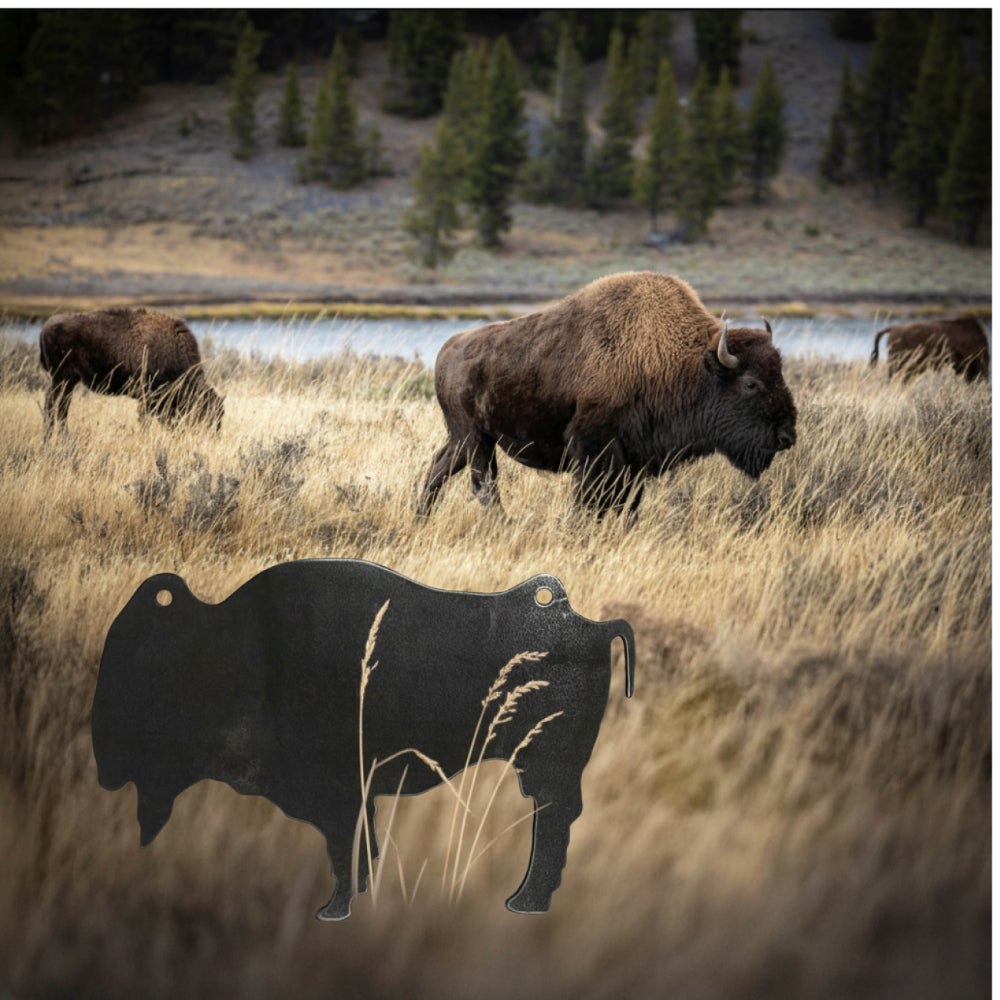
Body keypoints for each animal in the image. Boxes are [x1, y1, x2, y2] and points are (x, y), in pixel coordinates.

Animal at [39, 306, 223, 436]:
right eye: (206, 414)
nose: (213, 437)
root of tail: (45, 327)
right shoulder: (148, 398)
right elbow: (146, 421)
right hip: (62, 379)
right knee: (54, 408)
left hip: (66, 382)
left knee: (59, 409)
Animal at [93, 559, 635, 919]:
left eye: (143, 667)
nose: (105, 762)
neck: (238, 647)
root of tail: (591, 626)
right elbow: (360, 853)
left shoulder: (340, 798)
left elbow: (344, 853)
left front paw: (333, 910)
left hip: (545, 767)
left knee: (553, 821)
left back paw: (525, 901)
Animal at [417, 271, 797, 517]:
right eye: (751, 383)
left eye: (779, 372)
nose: (787, 436)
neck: (682, 361)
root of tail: (446, 351)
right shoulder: (593, 450)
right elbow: (590, 503)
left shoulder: (636, 459)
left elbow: (627, 505)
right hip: (476, 439)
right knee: (484, 486)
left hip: (465, 439)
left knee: (440, 466)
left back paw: (420, 517)